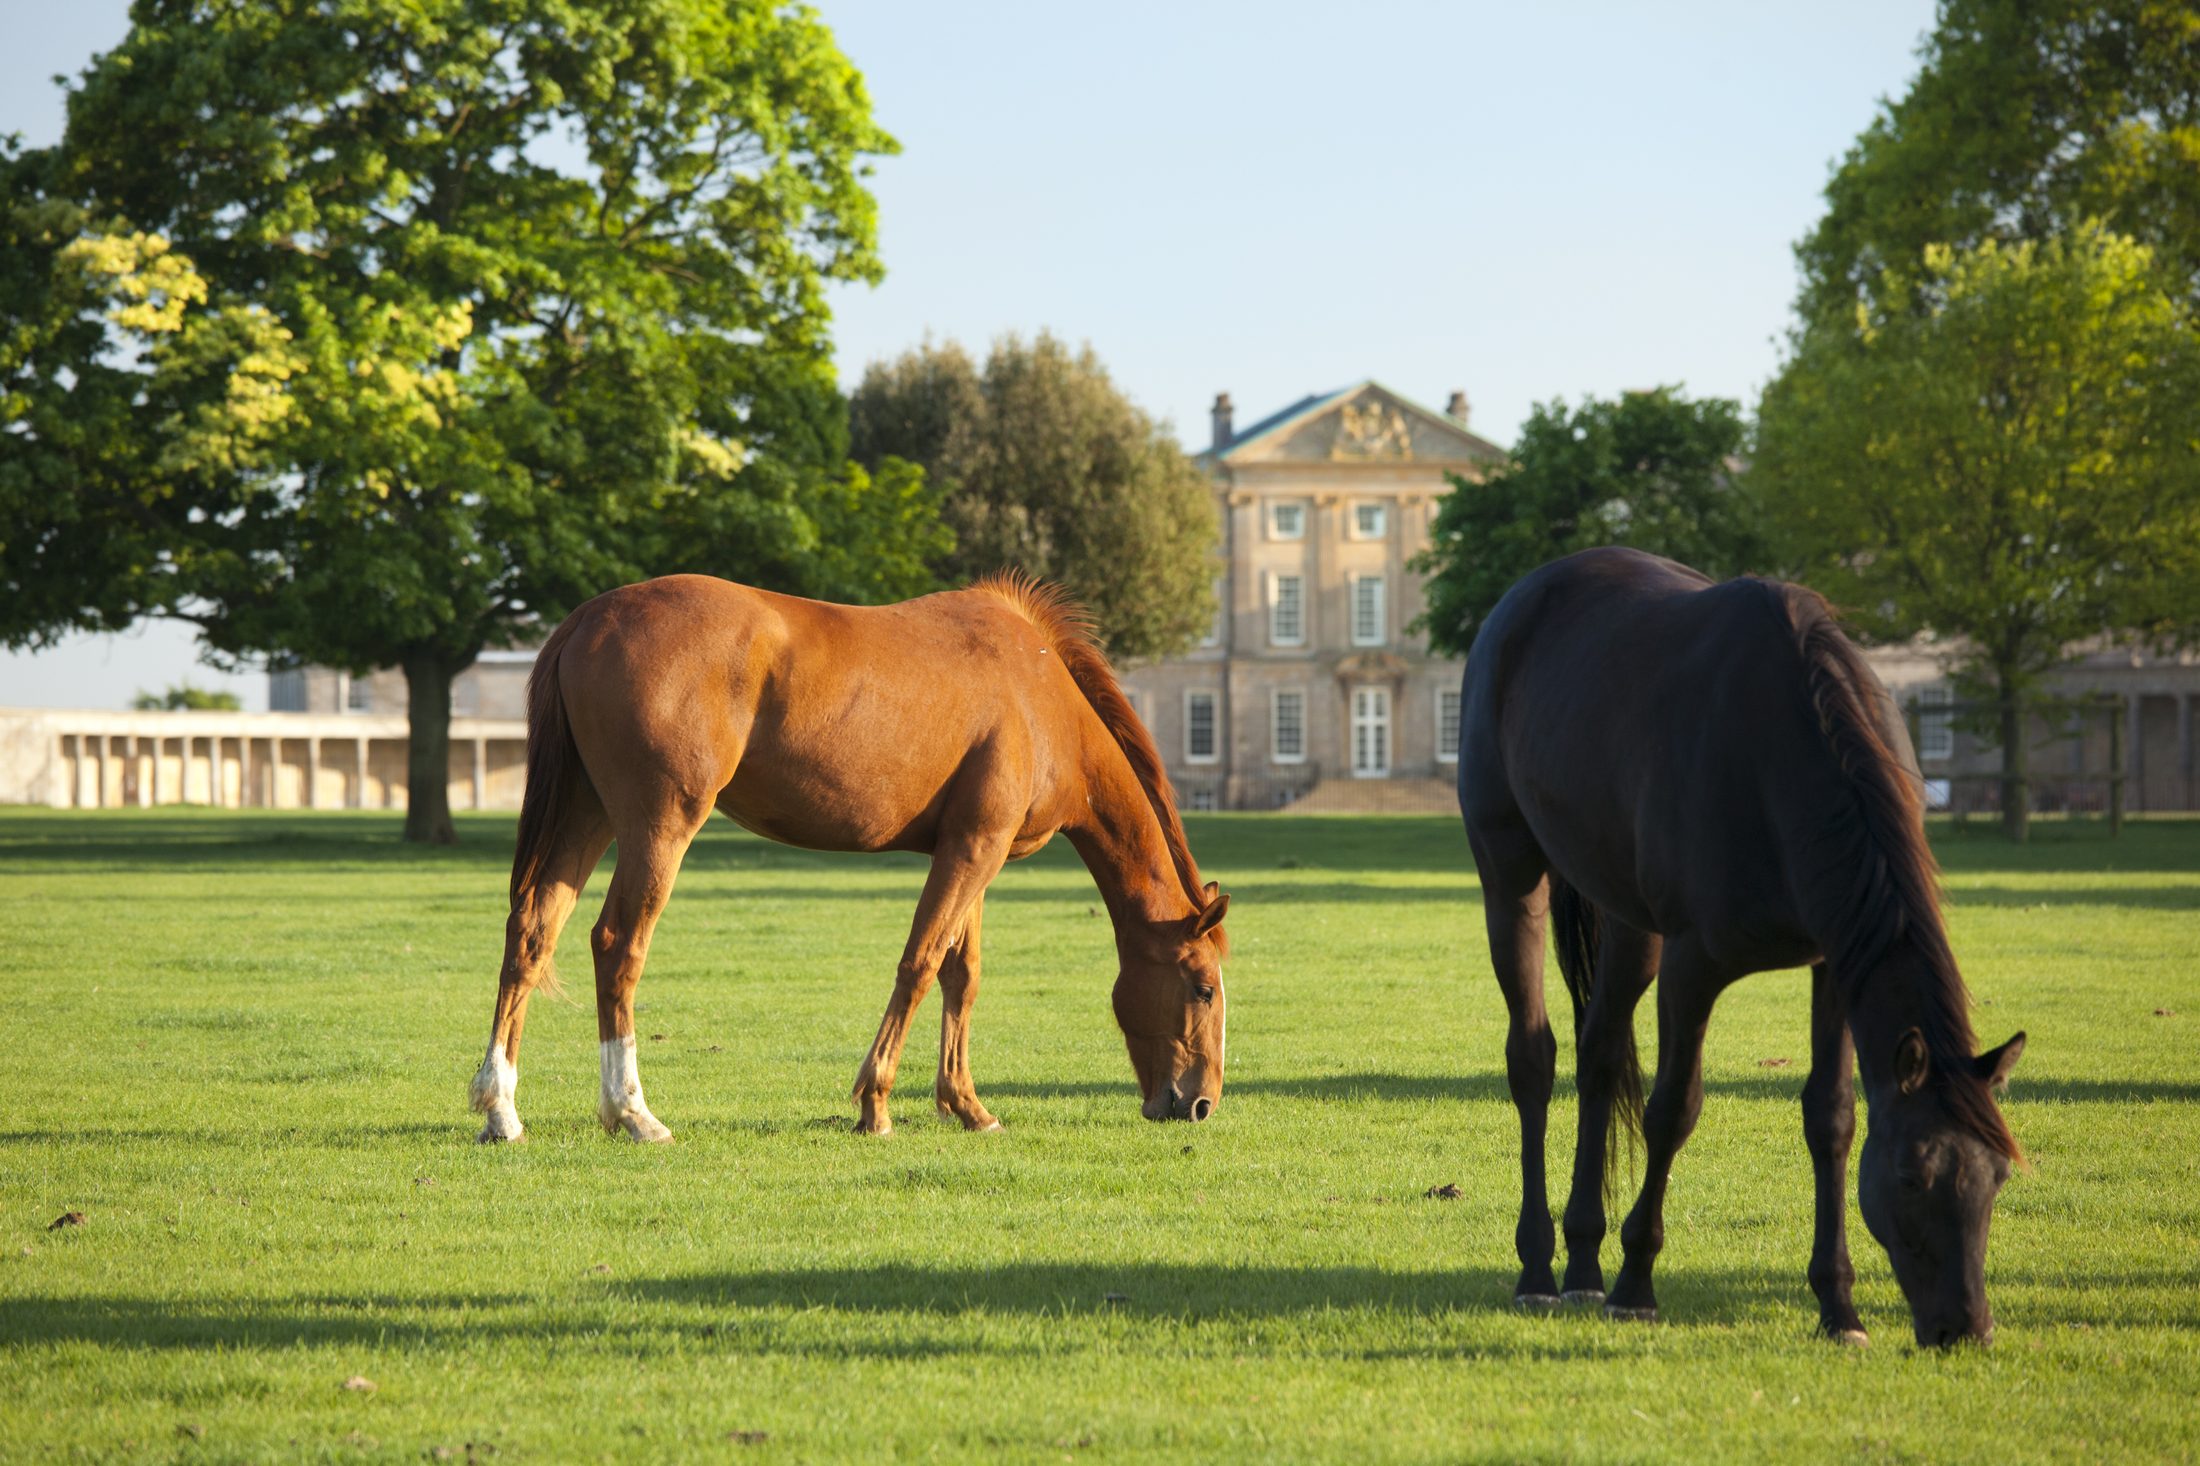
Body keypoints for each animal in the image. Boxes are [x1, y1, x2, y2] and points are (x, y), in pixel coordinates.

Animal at [467, 572, 1230, 1144]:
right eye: (1203, 988)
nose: (1199, 1104)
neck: (1039, 693)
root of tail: (587, 619)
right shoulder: (973, 851)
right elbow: (919, 966)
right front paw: (876, 1103)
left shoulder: (975, 853)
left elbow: (961, 977)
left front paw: (966, 1105)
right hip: (659, 827)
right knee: (617, 944)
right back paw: (632, 1111)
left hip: (585, 815)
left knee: (531, 934)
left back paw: (501, 1108)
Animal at [1457, 548, 2024, 1348]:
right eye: (1912, 1177)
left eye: (1997, 1177)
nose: (1966, 1327)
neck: (1784, 754)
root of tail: (1528, 594)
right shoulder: (1693, 966)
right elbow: (1673, 1109)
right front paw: (1637, 1283)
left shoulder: (1833, 964)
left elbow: (1831, 1118)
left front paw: (1838, 1306)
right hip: (1511, 875)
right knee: (1533, 1059)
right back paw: (1540, 1268)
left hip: (1630, 919)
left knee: (1600, 1055)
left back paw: (1584, 1264)